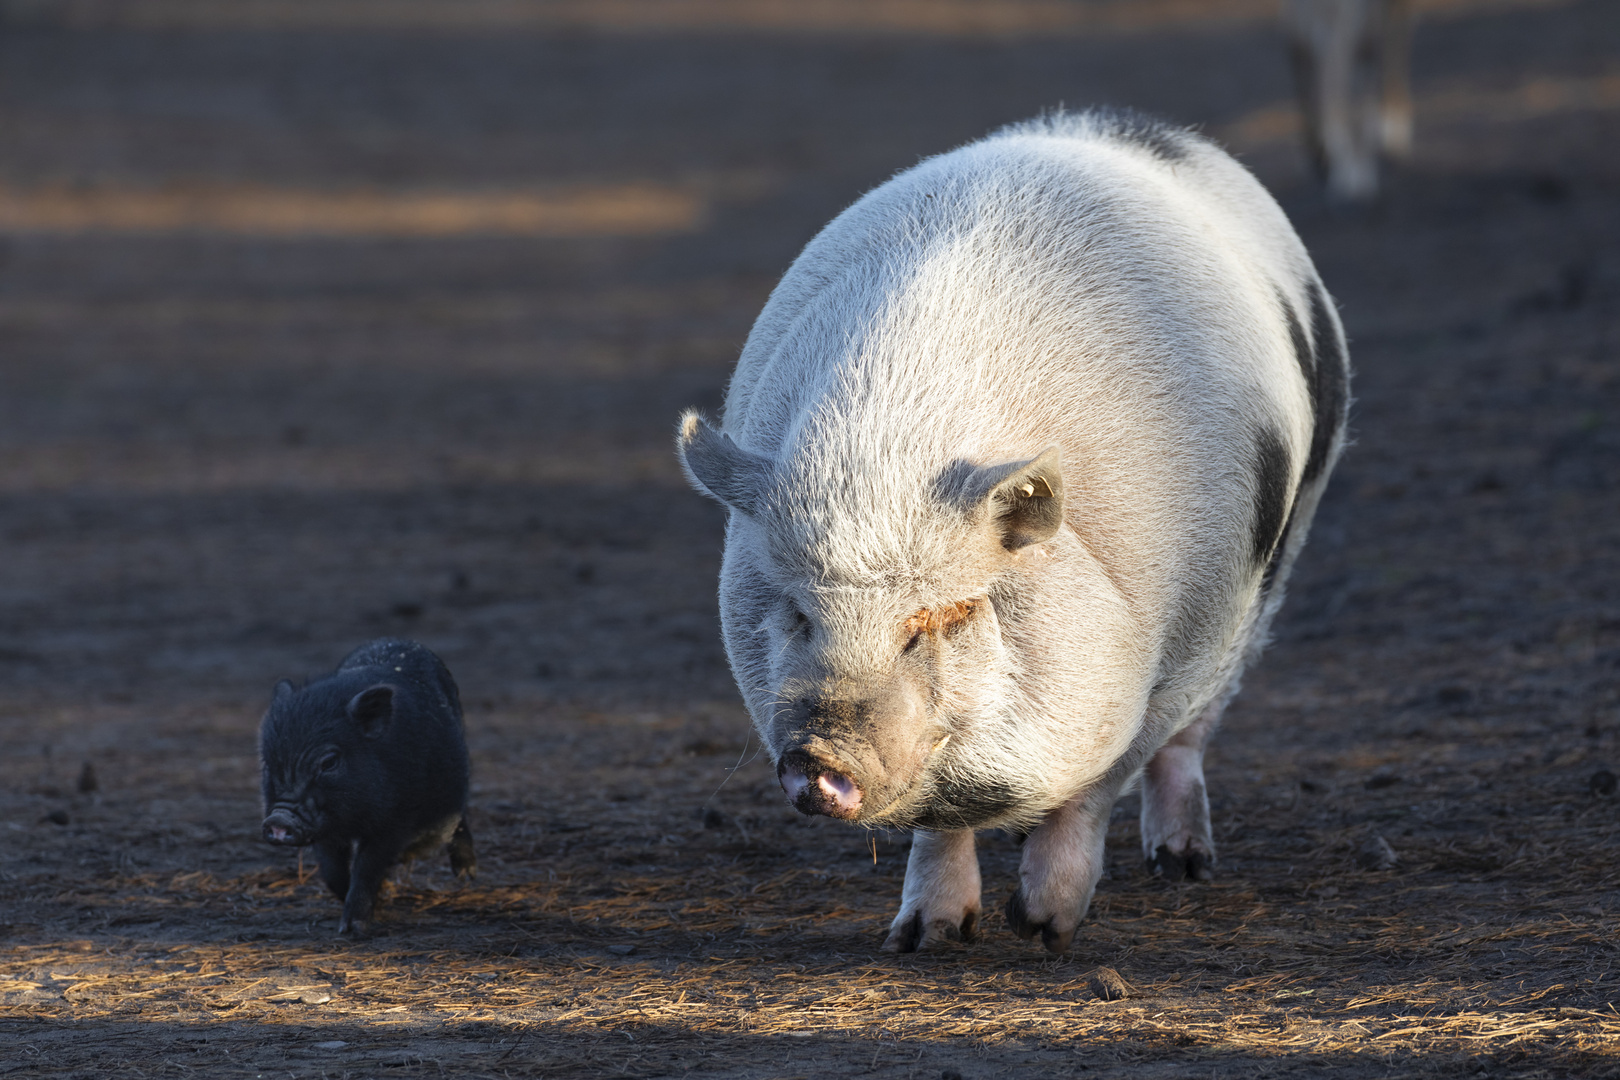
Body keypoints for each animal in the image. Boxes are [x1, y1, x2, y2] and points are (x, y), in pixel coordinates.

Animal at [677, 111, 1347, 952]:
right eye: (799, 613)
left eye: (942, 616)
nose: (820, 755)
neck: (893, 451)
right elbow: (938, 817)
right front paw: (924, 939)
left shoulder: (1186, 640)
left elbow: (1104, 779)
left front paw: (1042, 928)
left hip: (1273, 573)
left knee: (1192, 737)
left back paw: (1183, 865)